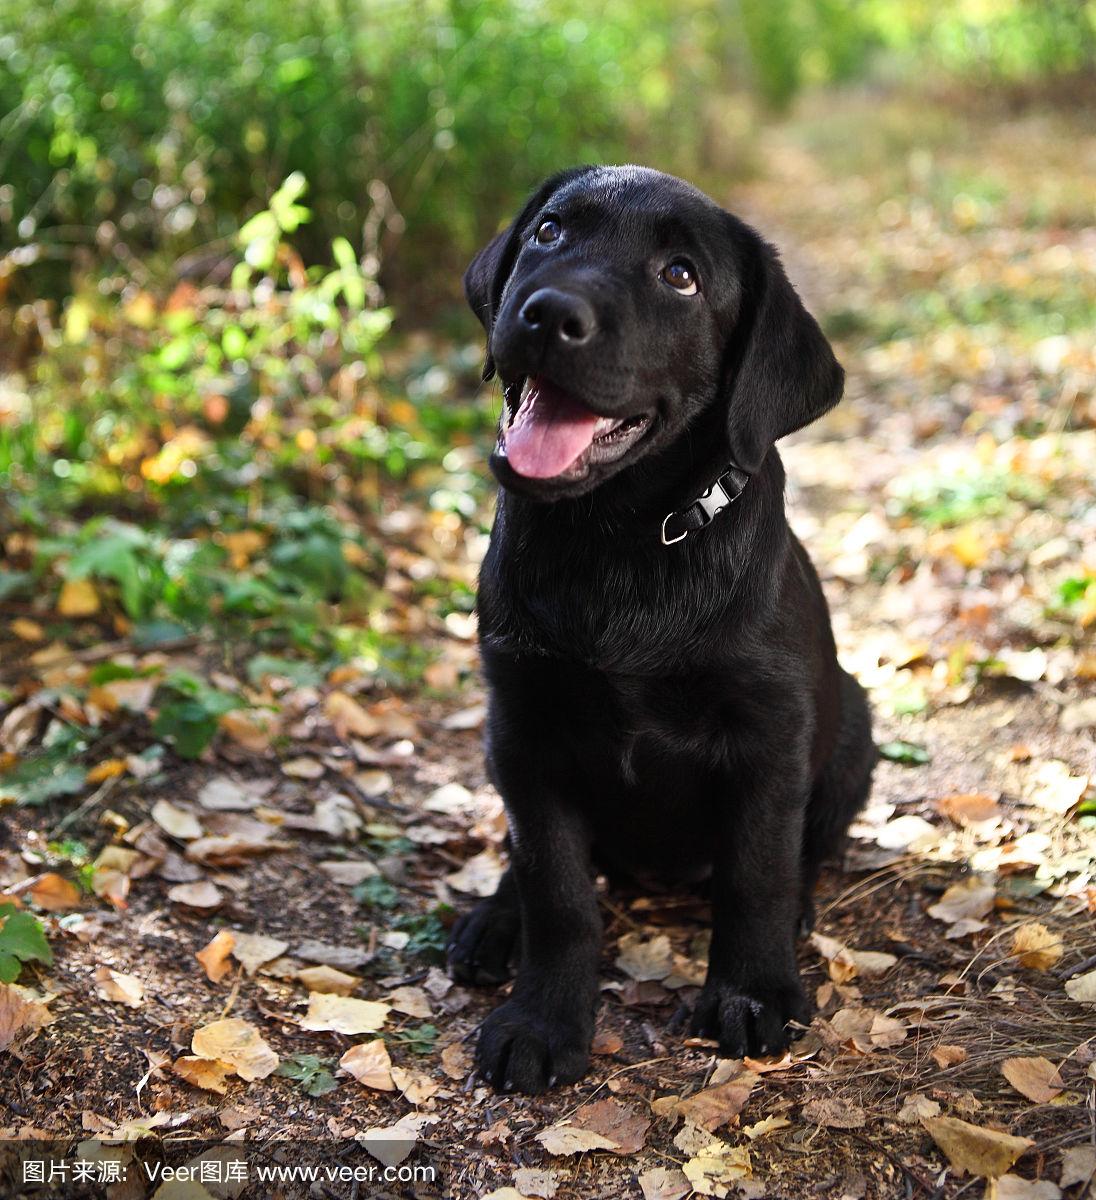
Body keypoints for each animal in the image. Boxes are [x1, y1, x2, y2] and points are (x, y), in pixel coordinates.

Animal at [441, 164, 873, 1094]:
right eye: (551, 231)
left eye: (682, 276)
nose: (548, 313)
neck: (617, 541)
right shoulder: (523, 729)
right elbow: (558, 889)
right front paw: (542, 1020)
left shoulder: (769, 733)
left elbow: (756, 872)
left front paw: (753, 992)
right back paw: (495, 919)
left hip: (854, 722)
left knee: (802, 850)